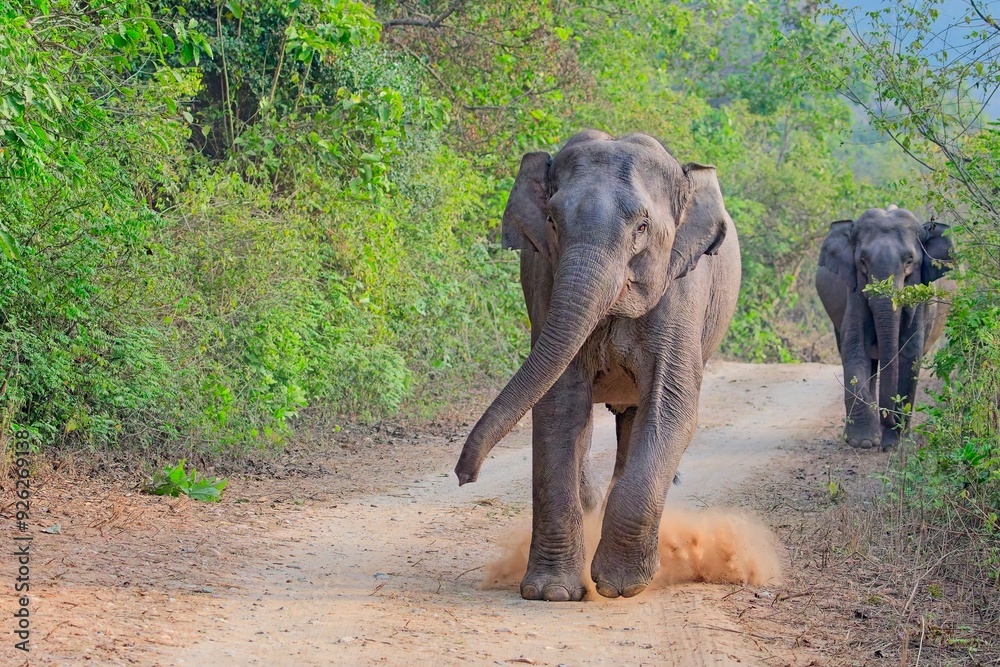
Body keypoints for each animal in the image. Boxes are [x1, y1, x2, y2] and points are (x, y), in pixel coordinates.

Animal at [453, 130, 741, 601]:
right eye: (552, 221)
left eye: (642, 227)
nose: (464, 476)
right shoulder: (544, 281)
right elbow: (559, 405)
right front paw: (552, 593)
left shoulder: (683, 293)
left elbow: (670, 407)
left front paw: (621, 587)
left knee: (636, 418)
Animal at [815, 206, 954, 450]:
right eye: (862, 261)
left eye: (909, 261)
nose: (887, 420)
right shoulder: (854, 291)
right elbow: (855, 349)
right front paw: (863, 442)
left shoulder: (921, 297)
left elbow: (909, 355)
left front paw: (894, 445)